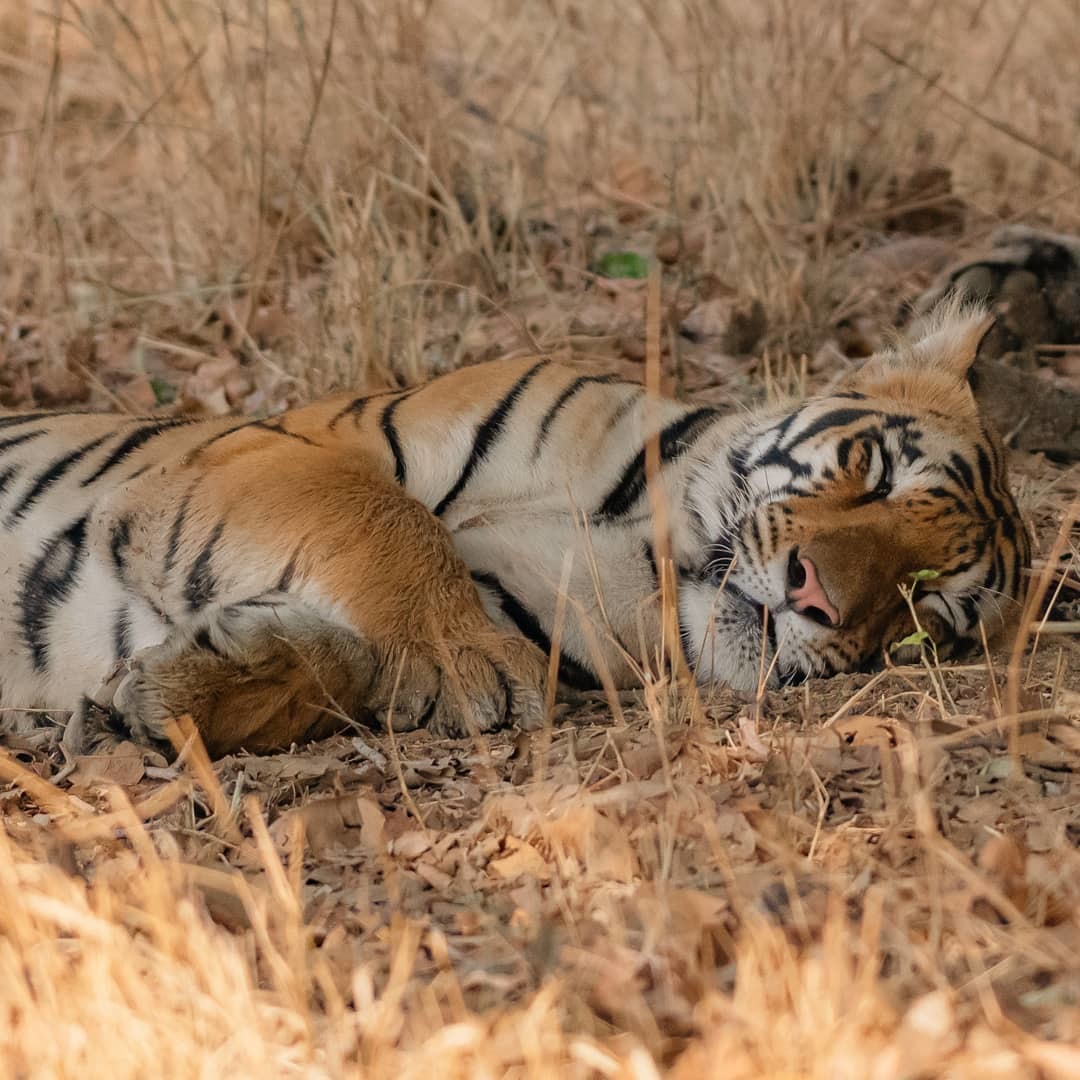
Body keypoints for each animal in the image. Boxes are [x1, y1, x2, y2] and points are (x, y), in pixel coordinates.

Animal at [0, 302, 1028, 760]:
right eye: (877, 470)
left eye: (925, 617)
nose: (820, 598)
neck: (647, 543)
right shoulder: (283, 447)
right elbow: (390, 516)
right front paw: (458, 661)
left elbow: (343, 662)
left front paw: (180, 687)